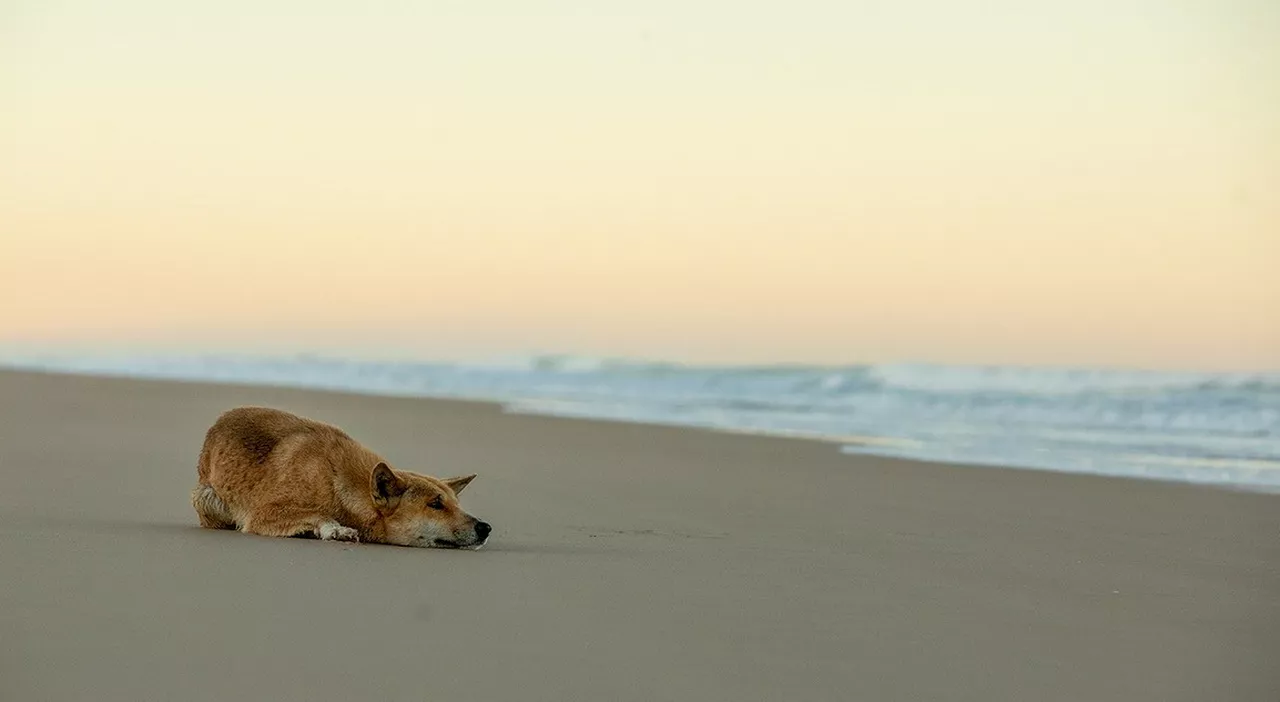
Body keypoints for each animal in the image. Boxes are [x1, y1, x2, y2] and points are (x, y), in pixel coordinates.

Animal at [189, 404, 488, 548]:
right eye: (435, 504)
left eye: (457, 505)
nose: (485, 527)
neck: (340, 484)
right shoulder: (264, 513)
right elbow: (318, 513)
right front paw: (335, 529)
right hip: (207, 498)